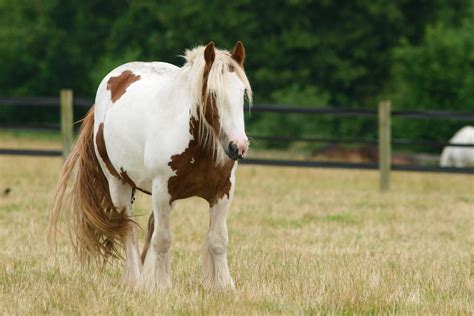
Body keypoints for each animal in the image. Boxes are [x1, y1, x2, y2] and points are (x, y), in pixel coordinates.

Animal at [49, 42, 252, 292]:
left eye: (242, 93)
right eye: (213, 94)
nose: (238, 146)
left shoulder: (223, 191)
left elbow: (218, 240)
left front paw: (224, 286)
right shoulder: (163, 190)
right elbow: (163, 239)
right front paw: (162, 286)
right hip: (119, 186)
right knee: (128, 230)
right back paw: (135, 280)